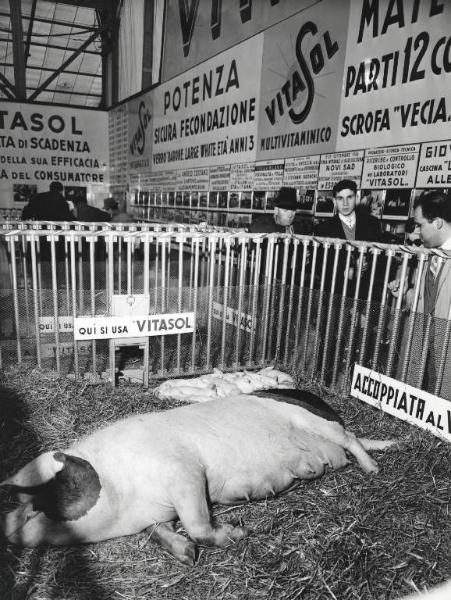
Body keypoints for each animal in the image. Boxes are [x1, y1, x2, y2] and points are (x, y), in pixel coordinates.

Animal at [1, 386, 394, 564]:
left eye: (38, 502)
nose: (6, 526)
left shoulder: (184, 472)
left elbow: (198, 524)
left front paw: (238, 533)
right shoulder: (157, 514)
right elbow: (163, 531)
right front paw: (187, 555)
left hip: (318, 422)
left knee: (352, 438)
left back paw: (373, 469)